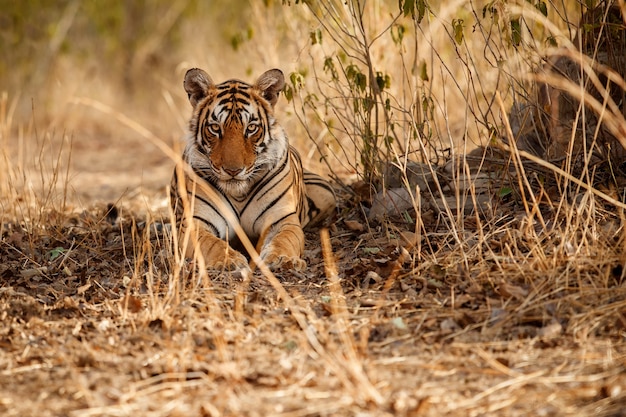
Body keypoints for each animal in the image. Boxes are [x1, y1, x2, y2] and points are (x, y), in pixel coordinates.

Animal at [169, 67, 336, 272]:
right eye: (215, 128)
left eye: (251, 128)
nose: (233, 170)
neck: (238, 194)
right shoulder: (194, 223)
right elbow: (212, 244)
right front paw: (230, 261)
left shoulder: (282, 220)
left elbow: (284, 240)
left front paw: (283, 259)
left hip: (326, 193)